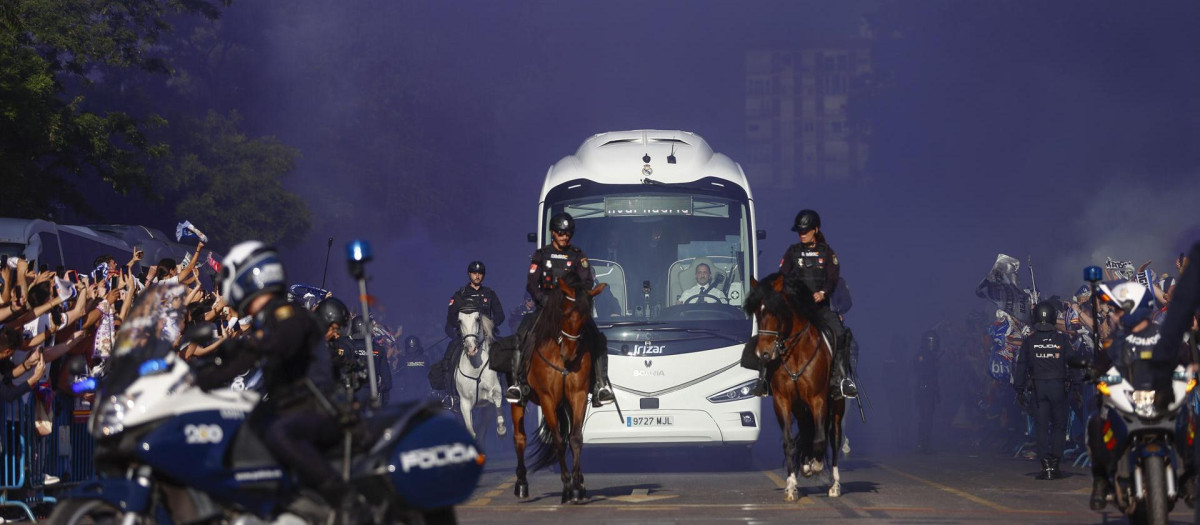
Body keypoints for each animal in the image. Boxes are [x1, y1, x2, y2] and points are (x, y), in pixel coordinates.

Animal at [508, 273, 604, 503]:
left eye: (586, 318)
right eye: (565, 314)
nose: (570, 354)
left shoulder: (577, 396)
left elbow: (575, 438)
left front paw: (577, 487)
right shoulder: (547, 399)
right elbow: (559, 441)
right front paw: (567, 487)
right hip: (518, 402)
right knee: (520, 439)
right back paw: (521, 484)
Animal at [744, 274, 849, 501]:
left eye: (776, 312)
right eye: (757, 312)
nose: (763, 354)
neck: (796, 353)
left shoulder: (818, 399)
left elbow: (820, 439)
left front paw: (816, 466)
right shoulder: (782, 400)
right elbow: (789, 442)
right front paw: (792, 485)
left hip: (836, 407)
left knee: (833, 438)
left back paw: (835, 484)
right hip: (801, 408)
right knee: (806, 430)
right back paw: (806, 465)